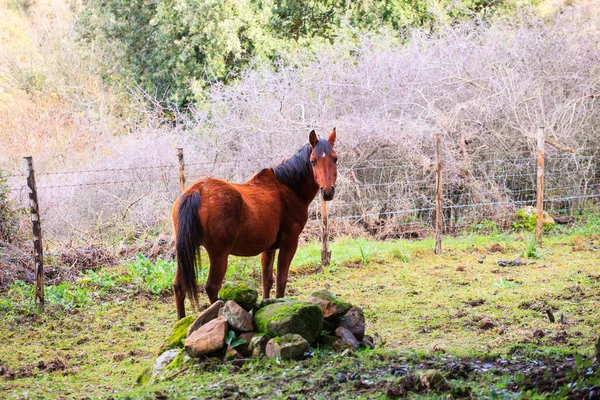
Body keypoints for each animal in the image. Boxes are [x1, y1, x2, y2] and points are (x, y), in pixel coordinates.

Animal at [172, 128, 338, 318]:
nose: (327, 192)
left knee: (179, 287)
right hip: (219, 254)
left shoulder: (269, 248)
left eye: (335, 158)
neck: (289, 188)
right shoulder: (289, 243)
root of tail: (196, 191)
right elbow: (281, 279)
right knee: (212, 287)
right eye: (313, 161)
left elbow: (267, 280)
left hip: (184, 252)